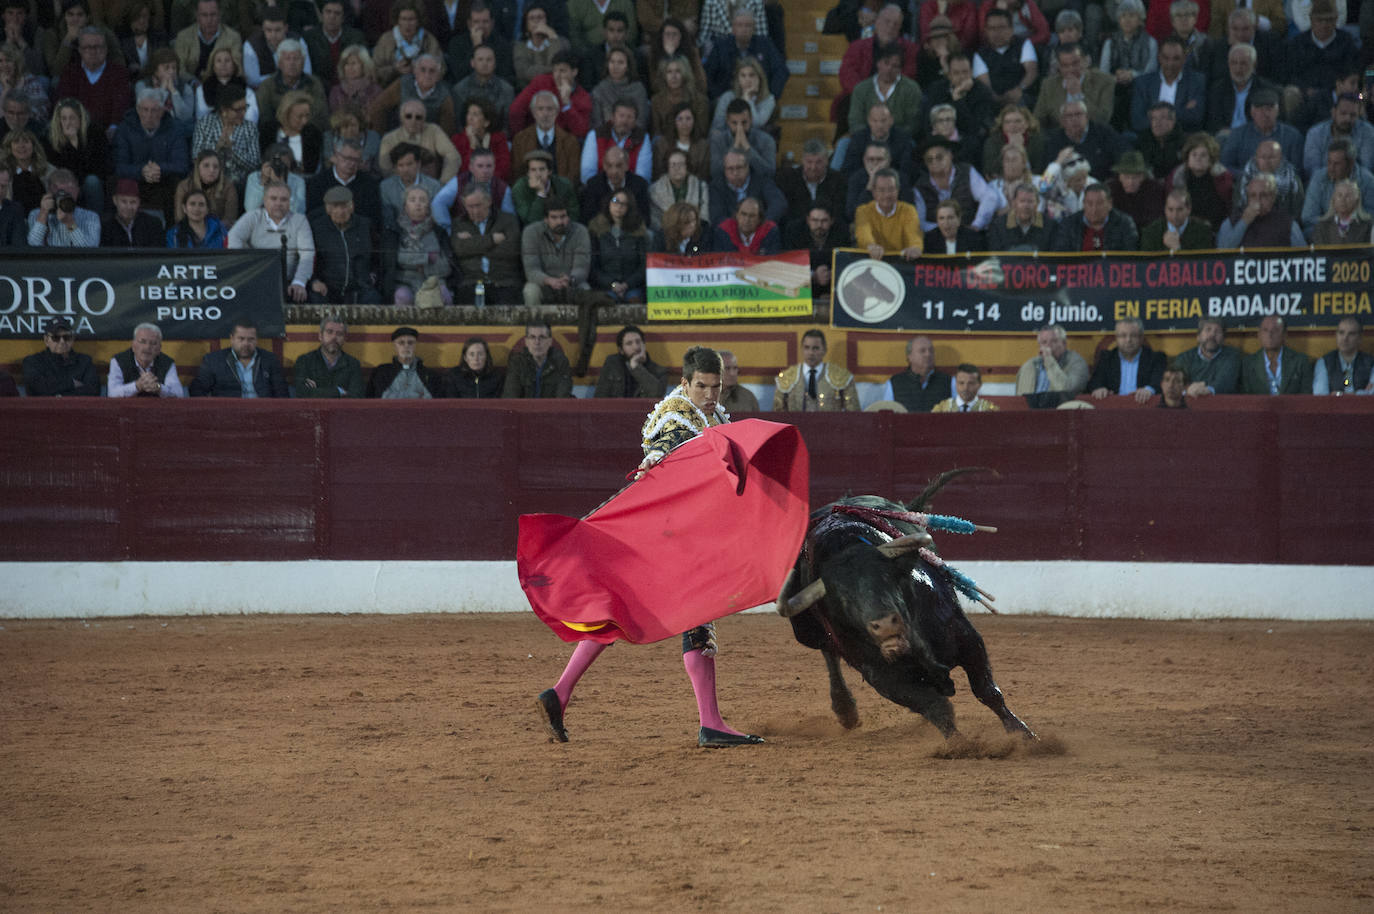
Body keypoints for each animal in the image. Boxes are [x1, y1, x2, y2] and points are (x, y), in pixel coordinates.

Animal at [780, 494, 1033, 736]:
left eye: (888, 576)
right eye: (842, 597)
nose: (885, 624)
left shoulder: (966, 637)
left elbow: (987, 691)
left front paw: (1023, 734)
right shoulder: (882, 675)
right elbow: (936, 707)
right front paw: (959, 744)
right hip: (807, 634)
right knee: (829, 653)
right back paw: (846, 710)